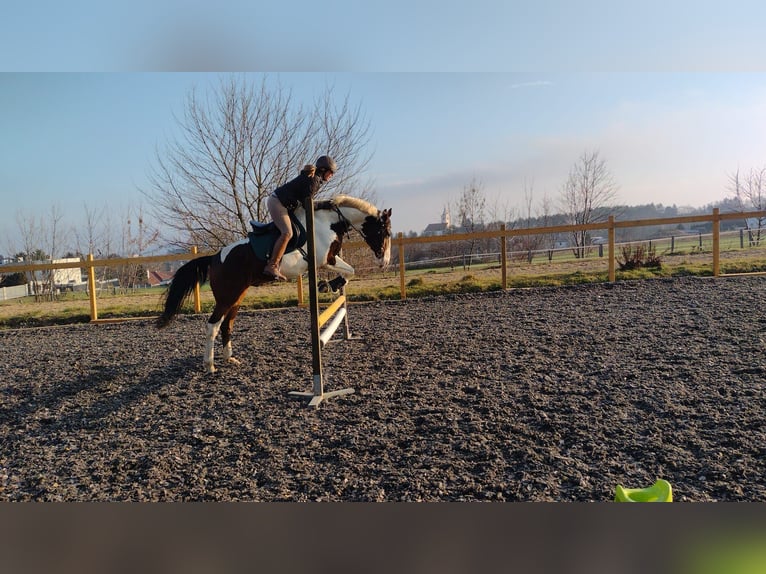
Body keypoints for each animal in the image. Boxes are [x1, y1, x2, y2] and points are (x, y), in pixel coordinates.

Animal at [158, 196, 396, 376]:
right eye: (384, 233)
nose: (384, 262)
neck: (328, 222)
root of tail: (215, 258)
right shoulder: (324, 259)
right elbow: (350, 271)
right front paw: (329, 285)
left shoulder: (330, 258)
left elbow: (350, 271)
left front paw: (330, 285)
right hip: (226, 298)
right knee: (213, 326)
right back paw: (210, 365)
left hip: (238, 296)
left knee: (227, 325)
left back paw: (230, 359)